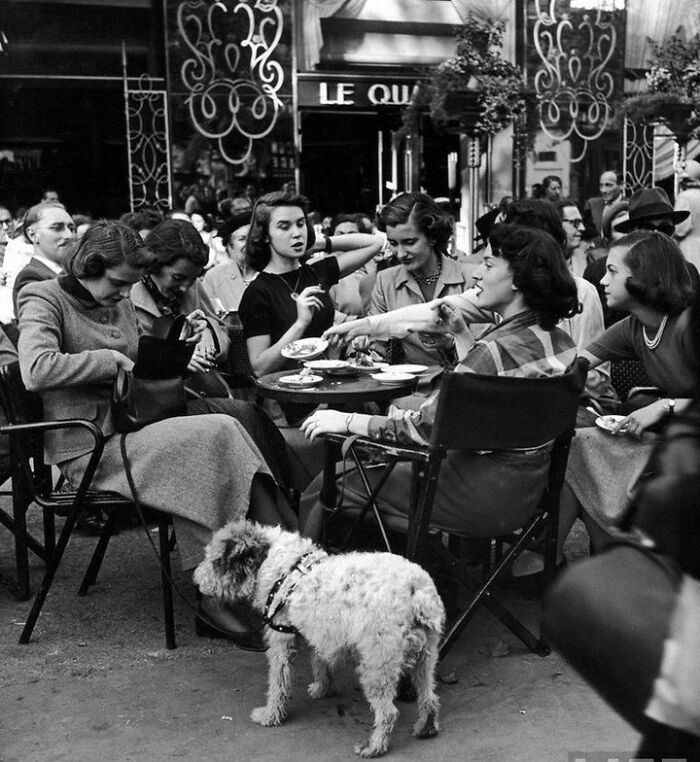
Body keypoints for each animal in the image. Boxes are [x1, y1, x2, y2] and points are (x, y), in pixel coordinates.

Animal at [193, 516, 442, 756]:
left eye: (214, 562)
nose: (196, 582)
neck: (275, 565)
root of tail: (416, 590)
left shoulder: (281, 639)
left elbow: (278, 683)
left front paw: (270, 716)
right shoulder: (320, 632)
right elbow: (319, 661)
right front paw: (323, 688)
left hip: (378, 665)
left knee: (389, 713)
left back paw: (374, 747)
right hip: (426, 659)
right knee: (429, 698)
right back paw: (426, 728)